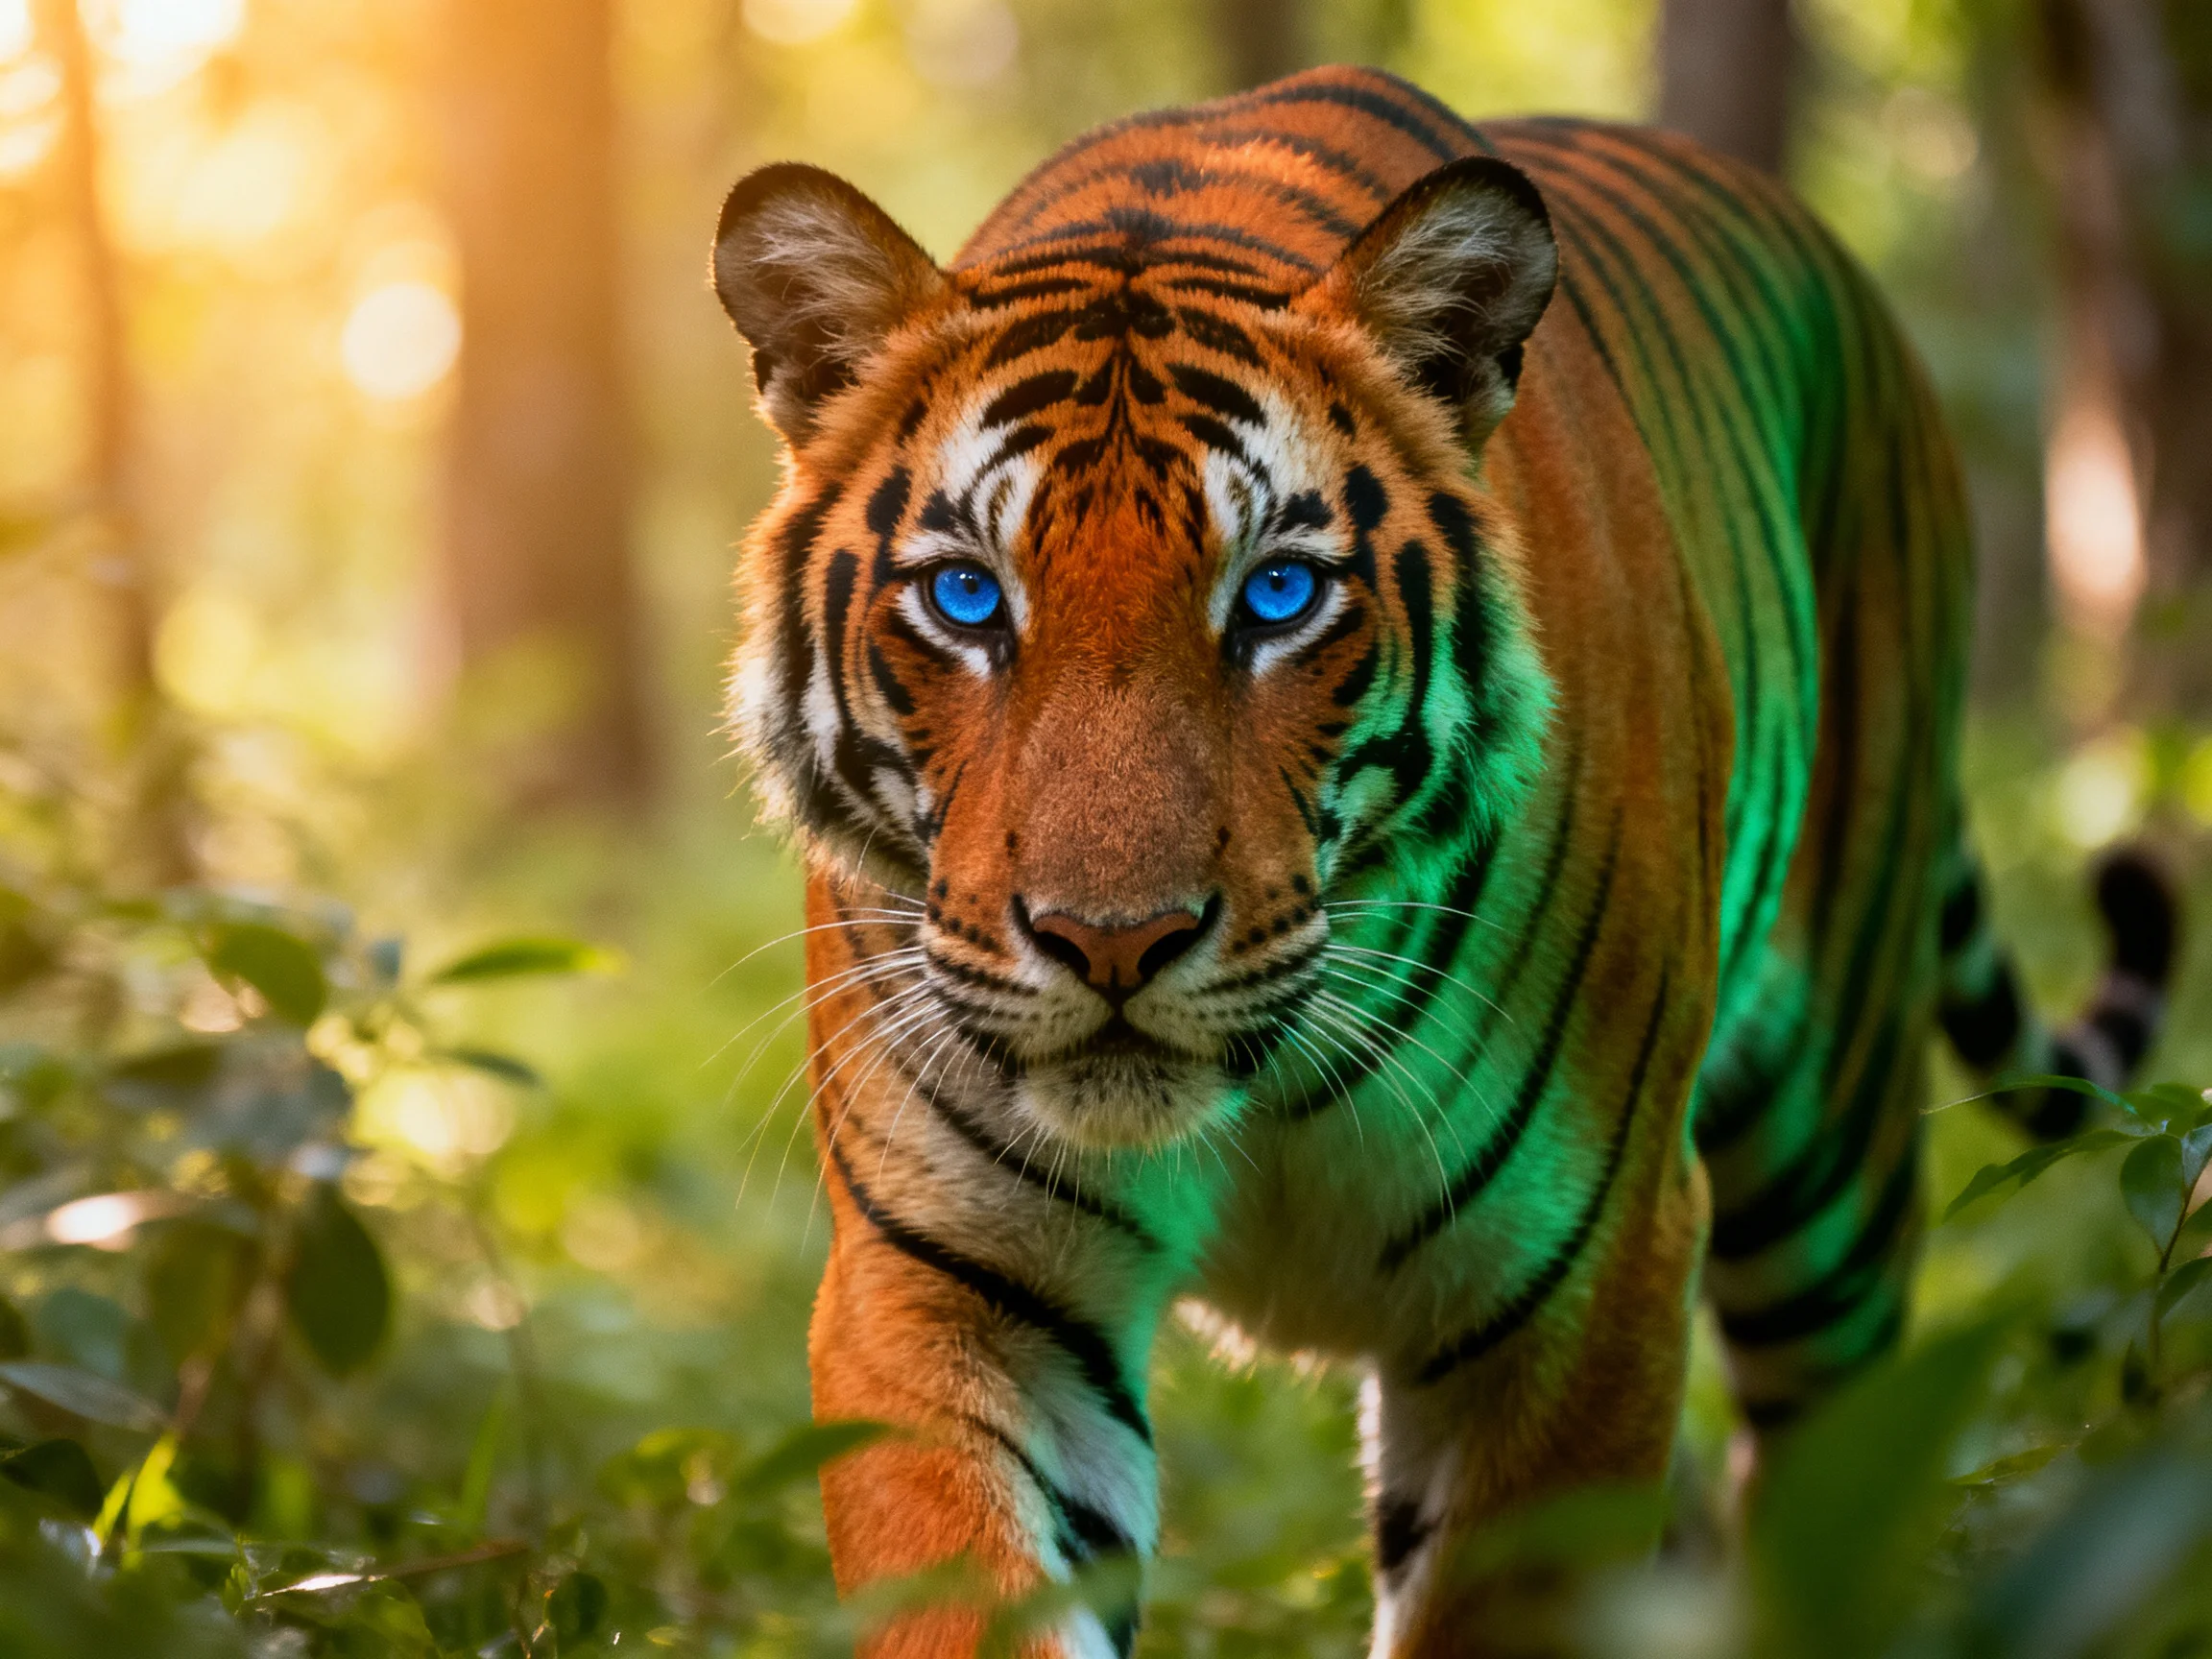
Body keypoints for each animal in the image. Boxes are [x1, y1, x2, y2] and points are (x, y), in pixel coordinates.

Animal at [707, 65, 2178, 1658]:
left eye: (1279, 596)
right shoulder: (950, 1287)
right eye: (970, 599)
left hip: (1830, 1163)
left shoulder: (1579, 1280)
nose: (1112, 942)